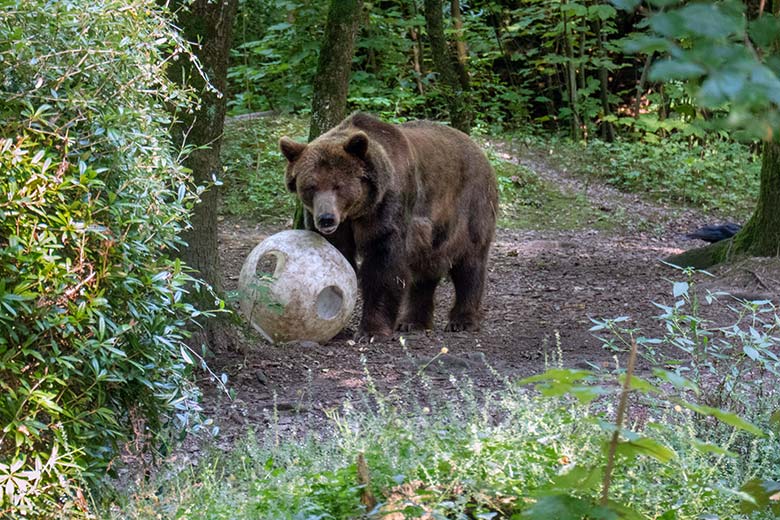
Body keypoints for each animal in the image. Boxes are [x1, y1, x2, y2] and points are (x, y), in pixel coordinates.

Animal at [280, 114, 496, 342]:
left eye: (338, 186)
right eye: (311, 186)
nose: (326, 219)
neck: (358, 211)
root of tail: (478, 149)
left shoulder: (387, 210)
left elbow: (383, 266)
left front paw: (372, 331)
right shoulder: (340, 227)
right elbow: (340, 257)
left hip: (469, 207)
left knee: (469, 262)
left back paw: (462, 320)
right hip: (432, 233)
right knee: (426, 271)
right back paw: (412, 322)